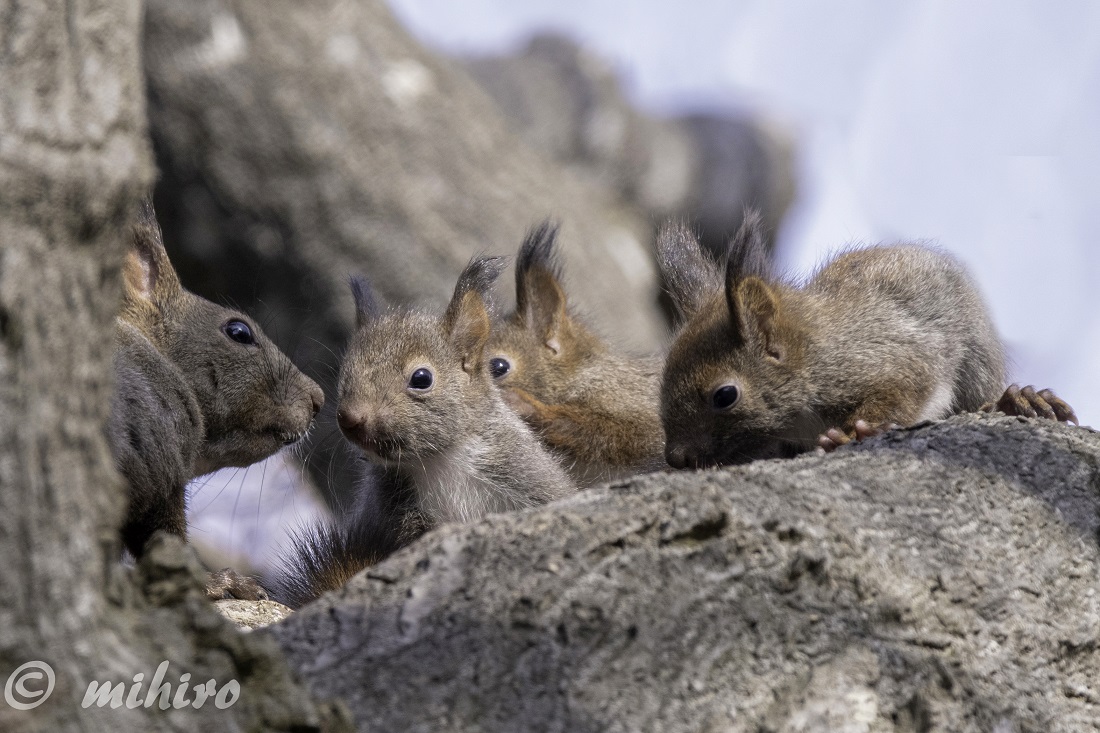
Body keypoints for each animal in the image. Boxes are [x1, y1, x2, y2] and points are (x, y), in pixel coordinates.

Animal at [275, 256, 576, 603]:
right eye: (344, 374)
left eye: (421, 378)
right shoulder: (393, 513)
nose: (349, 418)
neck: (440, 461)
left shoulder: (524, 478)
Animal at [651, 210, 1073, 468]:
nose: (676, 457)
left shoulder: (895, 361)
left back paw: (1015, 401)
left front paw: (851, 434)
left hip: (978, 360)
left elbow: (902, 392)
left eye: (725, 395)